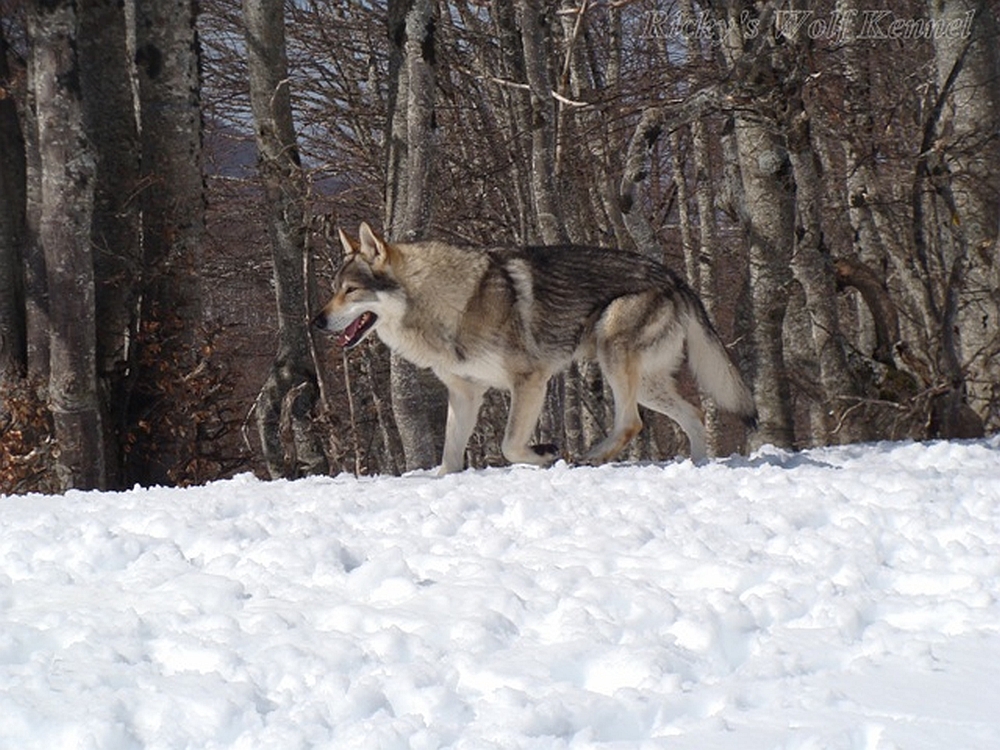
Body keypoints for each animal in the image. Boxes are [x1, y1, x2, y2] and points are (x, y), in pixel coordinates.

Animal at [314, 220, 756, 476]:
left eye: (350, 291)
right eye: (334, 289)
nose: (315, 321)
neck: (454, 302)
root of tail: (676, 278)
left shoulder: (530, 381)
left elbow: (509, 445)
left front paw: (546, 454)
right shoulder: (465, 393)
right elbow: (449, 458)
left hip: (614, 356)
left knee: (632, 423)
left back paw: (591, 457)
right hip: (644, 382)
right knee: (692, 414)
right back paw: (697, 466)